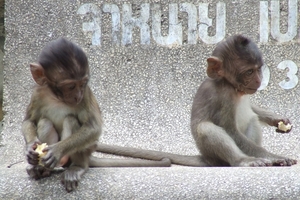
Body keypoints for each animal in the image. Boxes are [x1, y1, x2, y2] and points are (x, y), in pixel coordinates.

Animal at [22, 37, 170, 192]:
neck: (57, 98)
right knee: (44, 122)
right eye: (71, 86)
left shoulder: (86, 95)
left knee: (70, 120)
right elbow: (29, 121)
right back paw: (42, 169)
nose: (78, 95)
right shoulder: (38, 93)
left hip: (84, 151)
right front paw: (30, 148)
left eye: (82, 84)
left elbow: (93, 128)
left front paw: (57, 150)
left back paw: (77, 166)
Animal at [94, 34, 298, 167]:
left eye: (258, 69)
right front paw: (273, 156)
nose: (258, 80)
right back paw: (242, 160)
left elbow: (253, 110)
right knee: (207, 128)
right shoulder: (223, 97)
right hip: (212, 153)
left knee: (252, 119)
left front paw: (277, 119)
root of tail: (206, 158)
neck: (231, 86)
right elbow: (230, 130)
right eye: (249, 72)